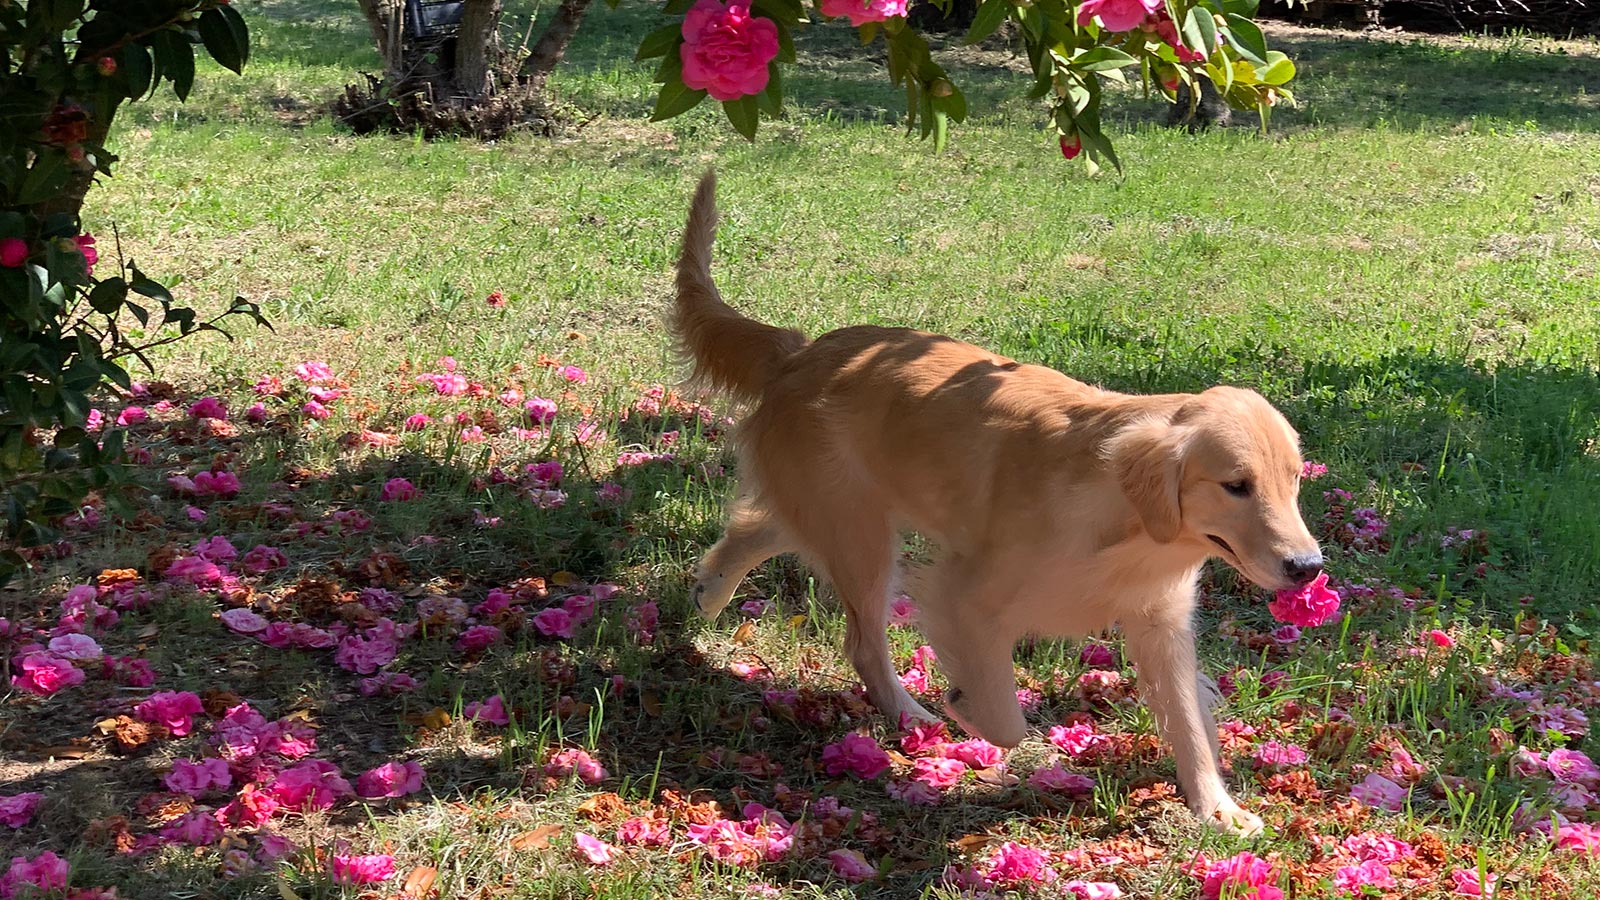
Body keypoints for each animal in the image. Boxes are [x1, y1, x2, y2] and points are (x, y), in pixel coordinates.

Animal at [668, 169, 1318, 832]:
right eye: (1236, 485)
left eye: (1293, 480)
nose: (1308, 568)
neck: (1126, 522)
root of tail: (801, 352)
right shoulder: (967, 596)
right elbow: (1006, 722)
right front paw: (969, 711)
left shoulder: (1160, 620)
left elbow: (1188, 721)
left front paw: (1219, 809)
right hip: (862, 537)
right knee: (862, 642)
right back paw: (910, 715)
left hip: (845, 514)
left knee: (758, 528)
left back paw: (710, 589)